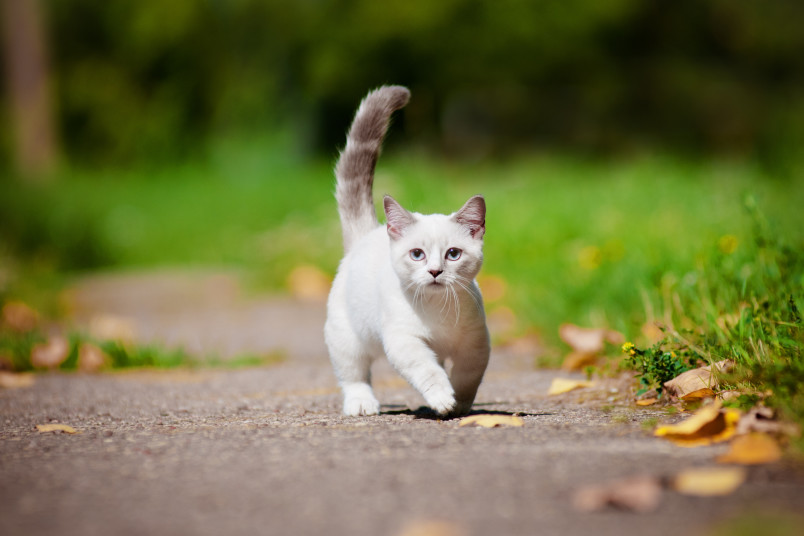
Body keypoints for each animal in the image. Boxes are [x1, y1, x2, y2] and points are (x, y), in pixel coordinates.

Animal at [322, 86, 486, 416]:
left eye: (453, 254)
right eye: (417, 254)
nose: (435, 271)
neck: (438, 314)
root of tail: (367, 233)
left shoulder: (476, 344)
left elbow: (467, 375)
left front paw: (459, 405)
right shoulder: (404, 341)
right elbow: (428, 370)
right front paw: (442, 398)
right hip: (346, 337)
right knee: (354, 375)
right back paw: (362, 404)